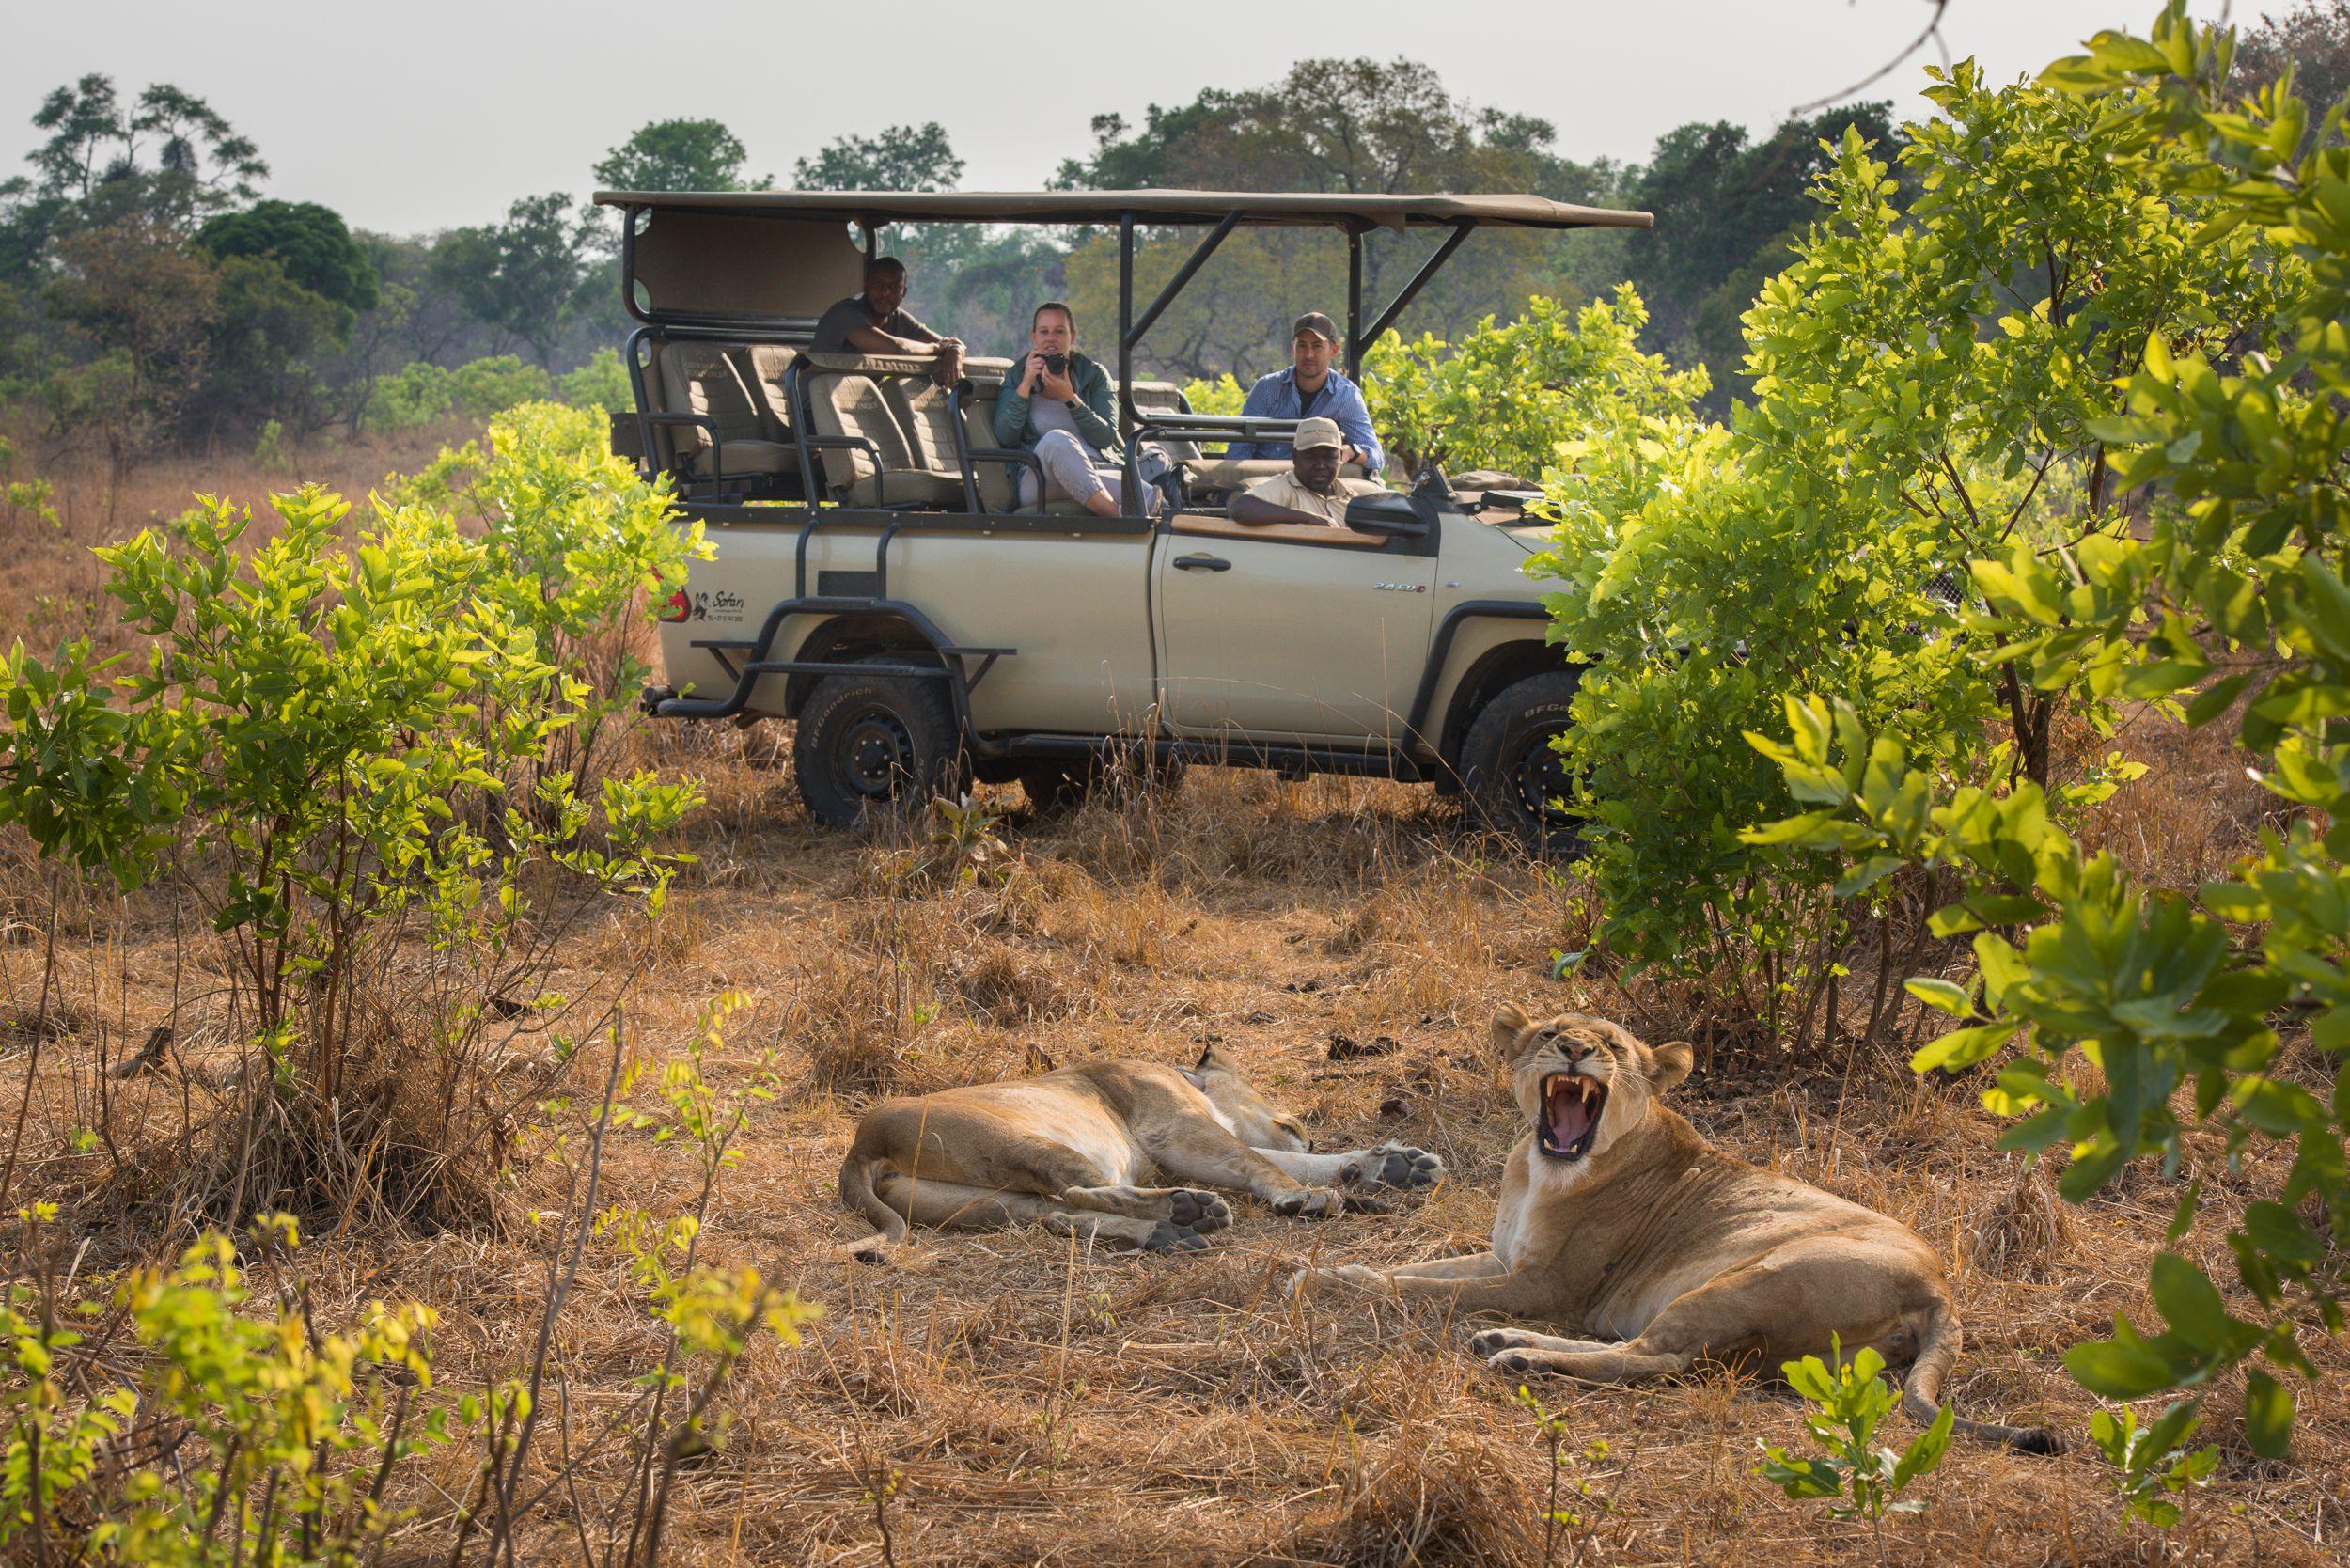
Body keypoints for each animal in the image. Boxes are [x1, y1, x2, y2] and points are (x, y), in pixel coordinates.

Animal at [839, 1046, 1443, 1261]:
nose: (1306, 1127)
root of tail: (861, 1145)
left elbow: (1280, 1159)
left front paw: (1394, 1164)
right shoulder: (1176, 1133)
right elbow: (1262, 1162)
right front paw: (1309, 1197)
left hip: (982, 1202)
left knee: (1058, 1214)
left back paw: (1167, 1234)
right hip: (1026, 1142)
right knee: (1076, 1190)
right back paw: (1188, 1211)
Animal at [1294, 1003, 2057, 1451]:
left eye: (1614, 1045)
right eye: (1552, 1033)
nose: (1574, 1051)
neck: (1540, 1168)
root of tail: (1941, 1288)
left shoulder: (1545, 1287)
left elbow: (1423, 1290)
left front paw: (1314, 1280)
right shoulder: (1503, 1261)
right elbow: (1419, 1269)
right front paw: (1331, 1268)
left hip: (1749, 1278)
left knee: (1655, 1358)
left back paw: (1519, 1357)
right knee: (1651, 1351)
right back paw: (1503, 1342)